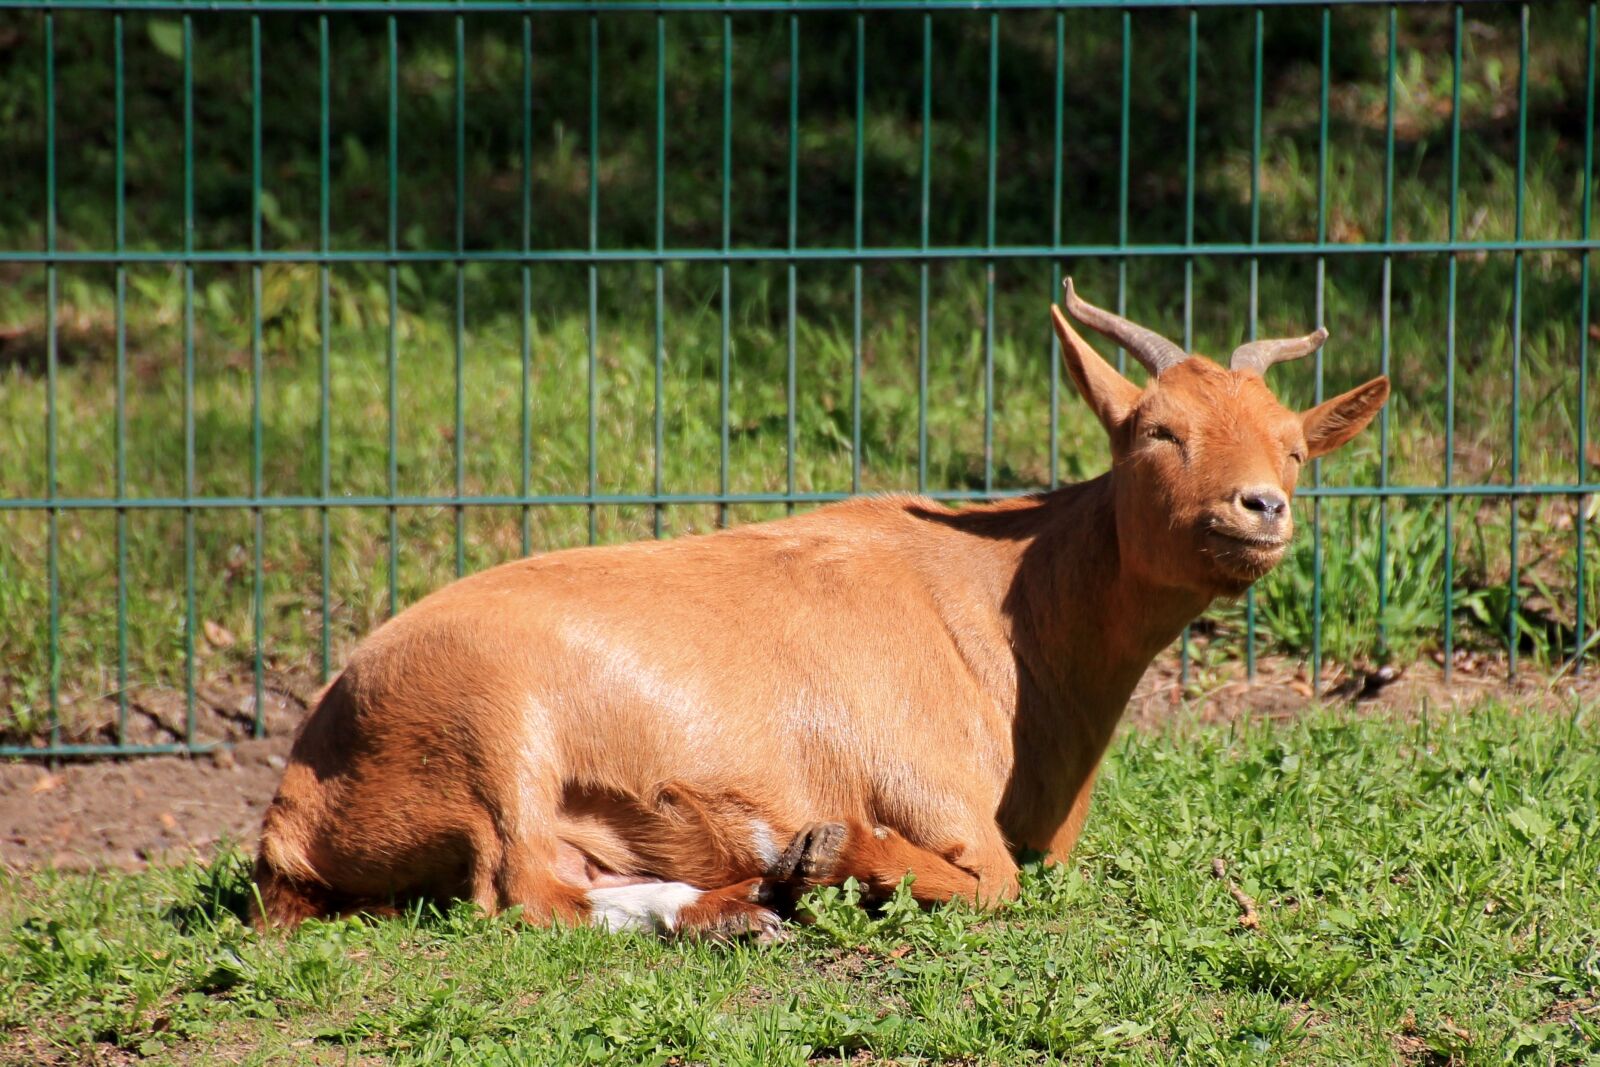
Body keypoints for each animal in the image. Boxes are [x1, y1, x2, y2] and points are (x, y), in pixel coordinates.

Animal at [252, 280, 1388, 938]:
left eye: (1295, 444)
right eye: (1156, 430)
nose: (1261, 506)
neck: (1007, 610)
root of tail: (296, 801)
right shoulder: (933, 788)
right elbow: (993, 881)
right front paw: (833, 856)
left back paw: (738, 905)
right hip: (490, 729)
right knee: (521, 891)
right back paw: (752, 898)